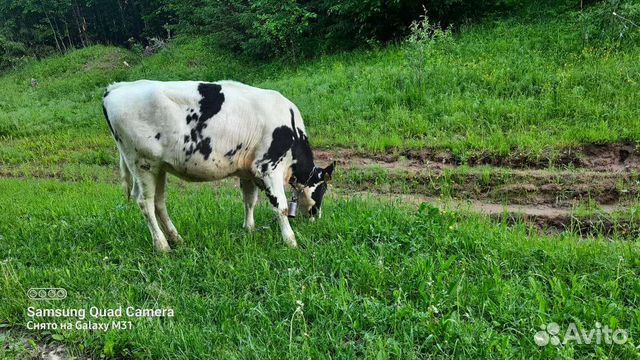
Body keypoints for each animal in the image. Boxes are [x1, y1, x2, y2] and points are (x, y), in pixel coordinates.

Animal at [101, 80, 336, 252]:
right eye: (323, 189)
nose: (317, 217)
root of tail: (116, 87)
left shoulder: (248, 171)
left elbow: (249, 201)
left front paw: (249, 230)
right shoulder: (268, 167)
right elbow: (281, 207)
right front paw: (291, 241)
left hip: (158, 167)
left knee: (159, 202)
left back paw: (176, 238)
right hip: (143, 163)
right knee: (145, 203)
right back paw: (162, 246)